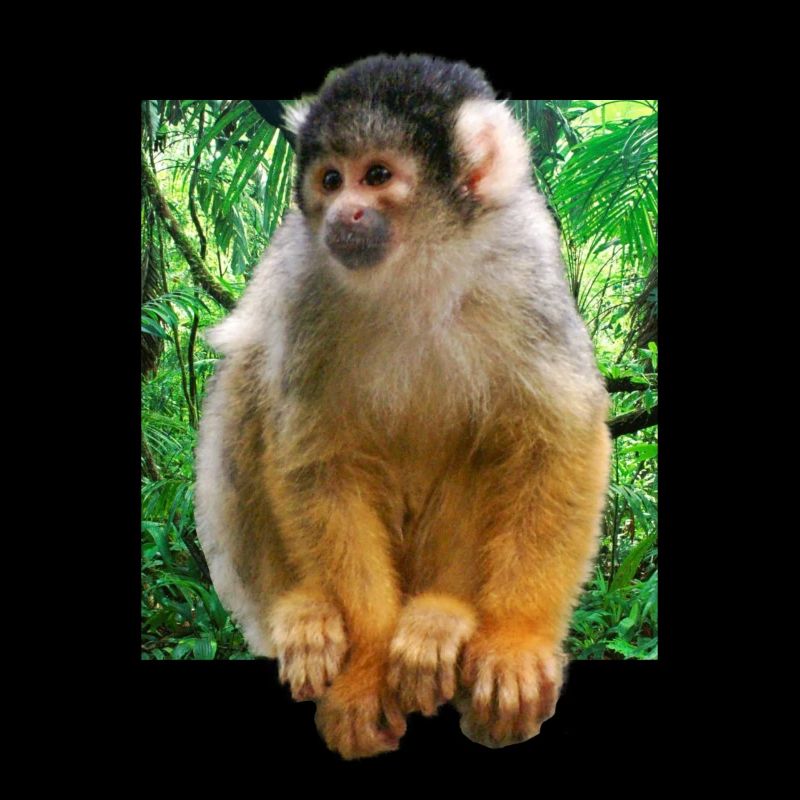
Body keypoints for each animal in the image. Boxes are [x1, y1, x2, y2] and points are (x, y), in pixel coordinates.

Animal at [195, 55, 611, 759]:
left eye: (378, 176)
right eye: (330, 180)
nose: (344, 214)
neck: (418, 266)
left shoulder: (523, 265)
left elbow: (557, 438)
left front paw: (515, 641)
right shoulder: (307, 282)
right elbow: (318, 461)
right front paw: (365, 671)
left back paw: (443, 617)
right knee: (251, 371)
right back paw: (300, 612)